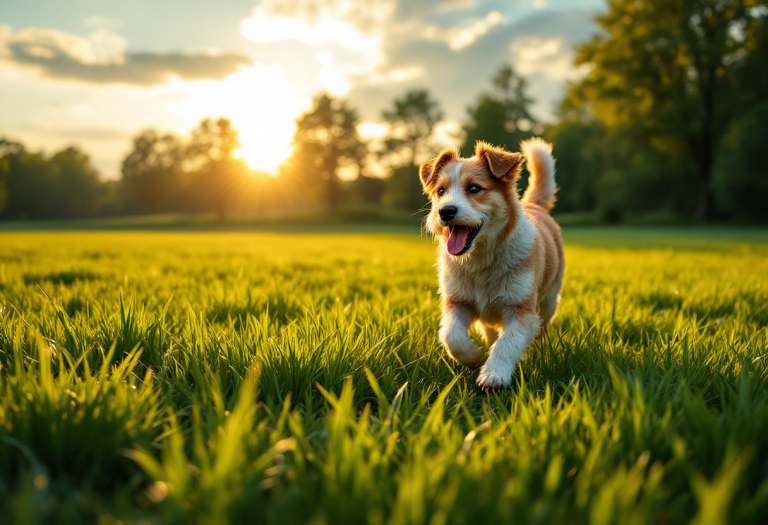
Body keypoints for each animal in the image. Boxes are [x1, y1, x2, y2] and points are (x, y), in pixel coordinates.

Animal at [420, 138, 564, 388]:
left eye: (474, 188)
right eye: (441, 191)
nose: (445, 211)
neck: (480, 260)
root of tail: (533, 205)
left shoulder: (522, 310)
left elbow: (508, 343)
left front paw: (494, 374)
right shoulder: (457, 301)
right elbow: (450, 335)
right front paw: (472, 357)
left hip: (549, 300)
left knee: (541, 327)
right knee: (489, 330)